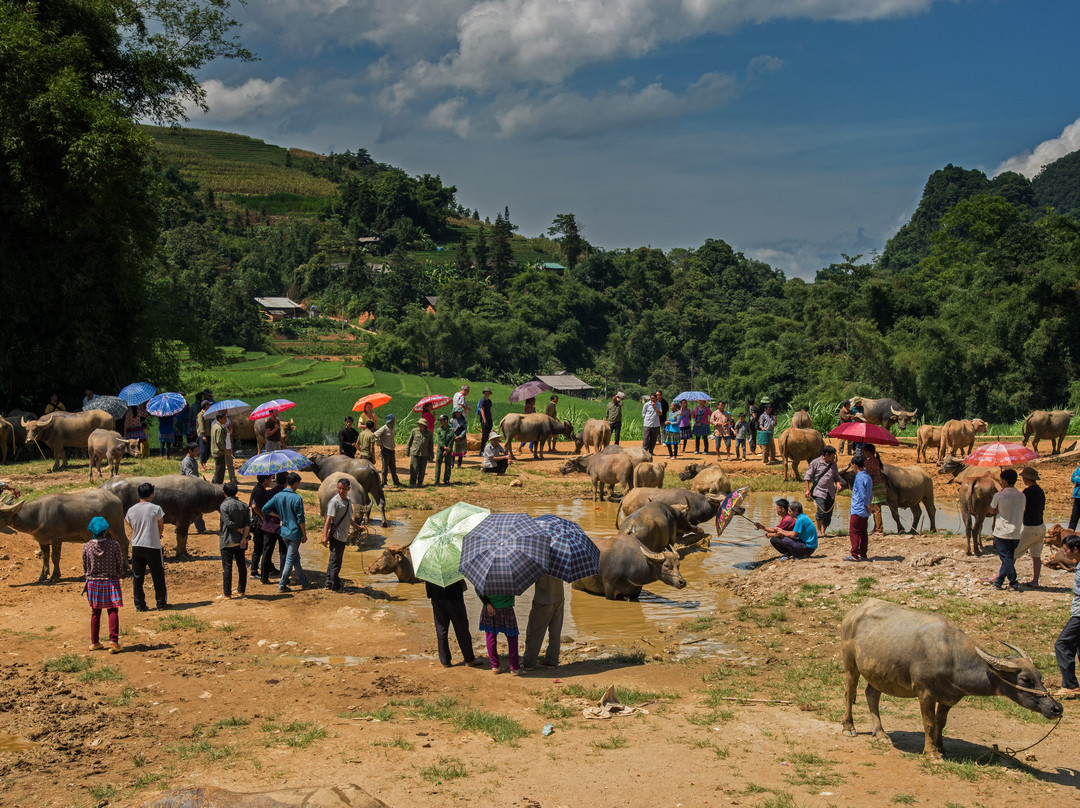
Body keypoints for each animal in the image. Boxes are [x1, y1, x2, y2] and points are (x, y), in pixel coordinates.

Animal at [838, 596, 1058, 760]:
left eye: (1040, 677)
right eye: (1025, 680)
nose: (1056, 708)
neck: (952, 656)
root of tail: (854, 612)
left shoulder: (949, 698)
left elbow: (940, 722)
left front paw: (941, 747)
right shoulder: (925, 692)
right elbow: (928, 723)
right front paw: (932, 753)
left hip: (879, 672)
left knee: (871, 694)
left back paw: (880, 733)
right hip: (851, 665)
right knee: (850, 692)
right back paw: (849, 727)